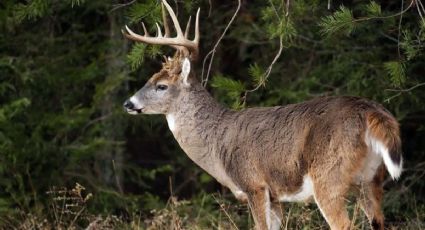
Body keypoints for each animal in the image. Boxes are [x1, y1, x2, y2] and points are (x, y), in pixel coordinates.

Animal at [121, 0, 400, 229]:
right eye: (150, 78)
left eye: (161, 86)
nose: (128, 102)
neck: (216, 144)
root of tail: (371, 111)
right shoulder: (275, 196)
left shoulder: (253, 184)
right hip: (372, 178)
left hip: (329, 176)